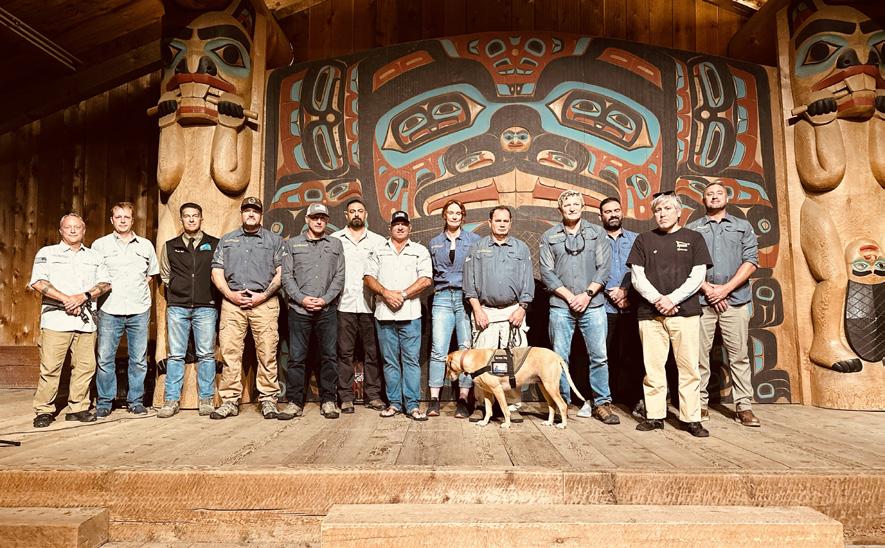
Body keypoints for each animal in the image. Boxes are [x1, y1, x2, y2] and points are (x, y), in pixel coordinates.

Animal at [446, 347, 584, 429]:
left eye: (447, 365)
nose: (447, 377)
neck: (472, 358)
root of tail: (556, 356)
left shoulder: (498, 390)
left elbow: (504, 409)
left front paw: (507, 424)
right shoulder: (487, 392)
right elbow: (488, 410)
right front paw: (484, 422)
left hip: (551, 386)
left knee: (562, 405)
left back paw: (563, 424)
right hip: (544, 387)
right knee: (552, 406)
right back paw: (549, 422)